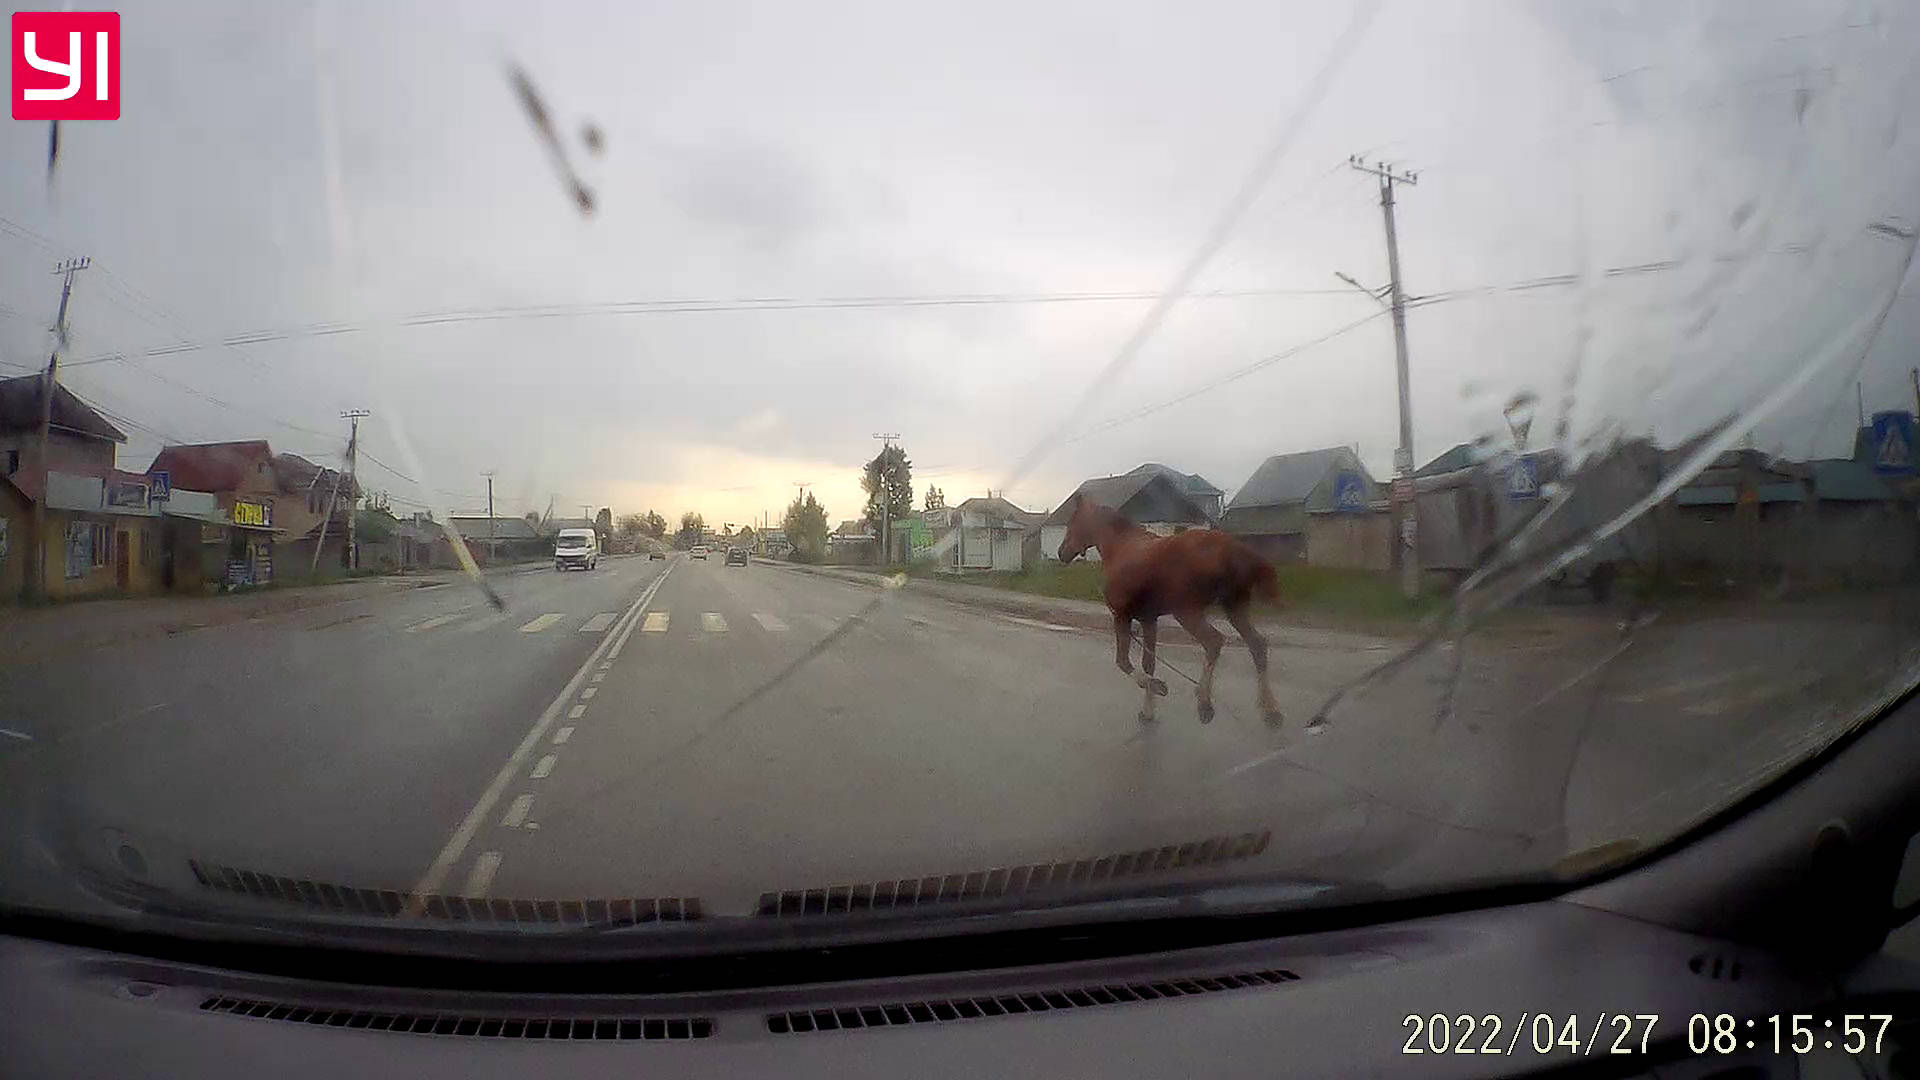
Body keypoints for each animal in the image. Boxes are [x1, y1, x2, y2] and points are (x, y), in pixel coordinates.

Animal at [1059, 495, 1282, 722]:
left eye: (1072, 522)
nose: (1062, 553)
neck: (1120, 547)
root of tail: (1235, 549)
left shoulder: (1122, 616)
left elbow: (1123, 661)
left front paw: (1158, 687)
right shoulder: (1148, 619)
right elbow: (1148, 663)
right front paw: (1148, 711)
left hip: (1187, 613)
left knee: (1214, 642)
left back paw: (1204, 702)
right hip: (1234, 608)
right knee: (1257, 645)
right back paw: (1270, 710)